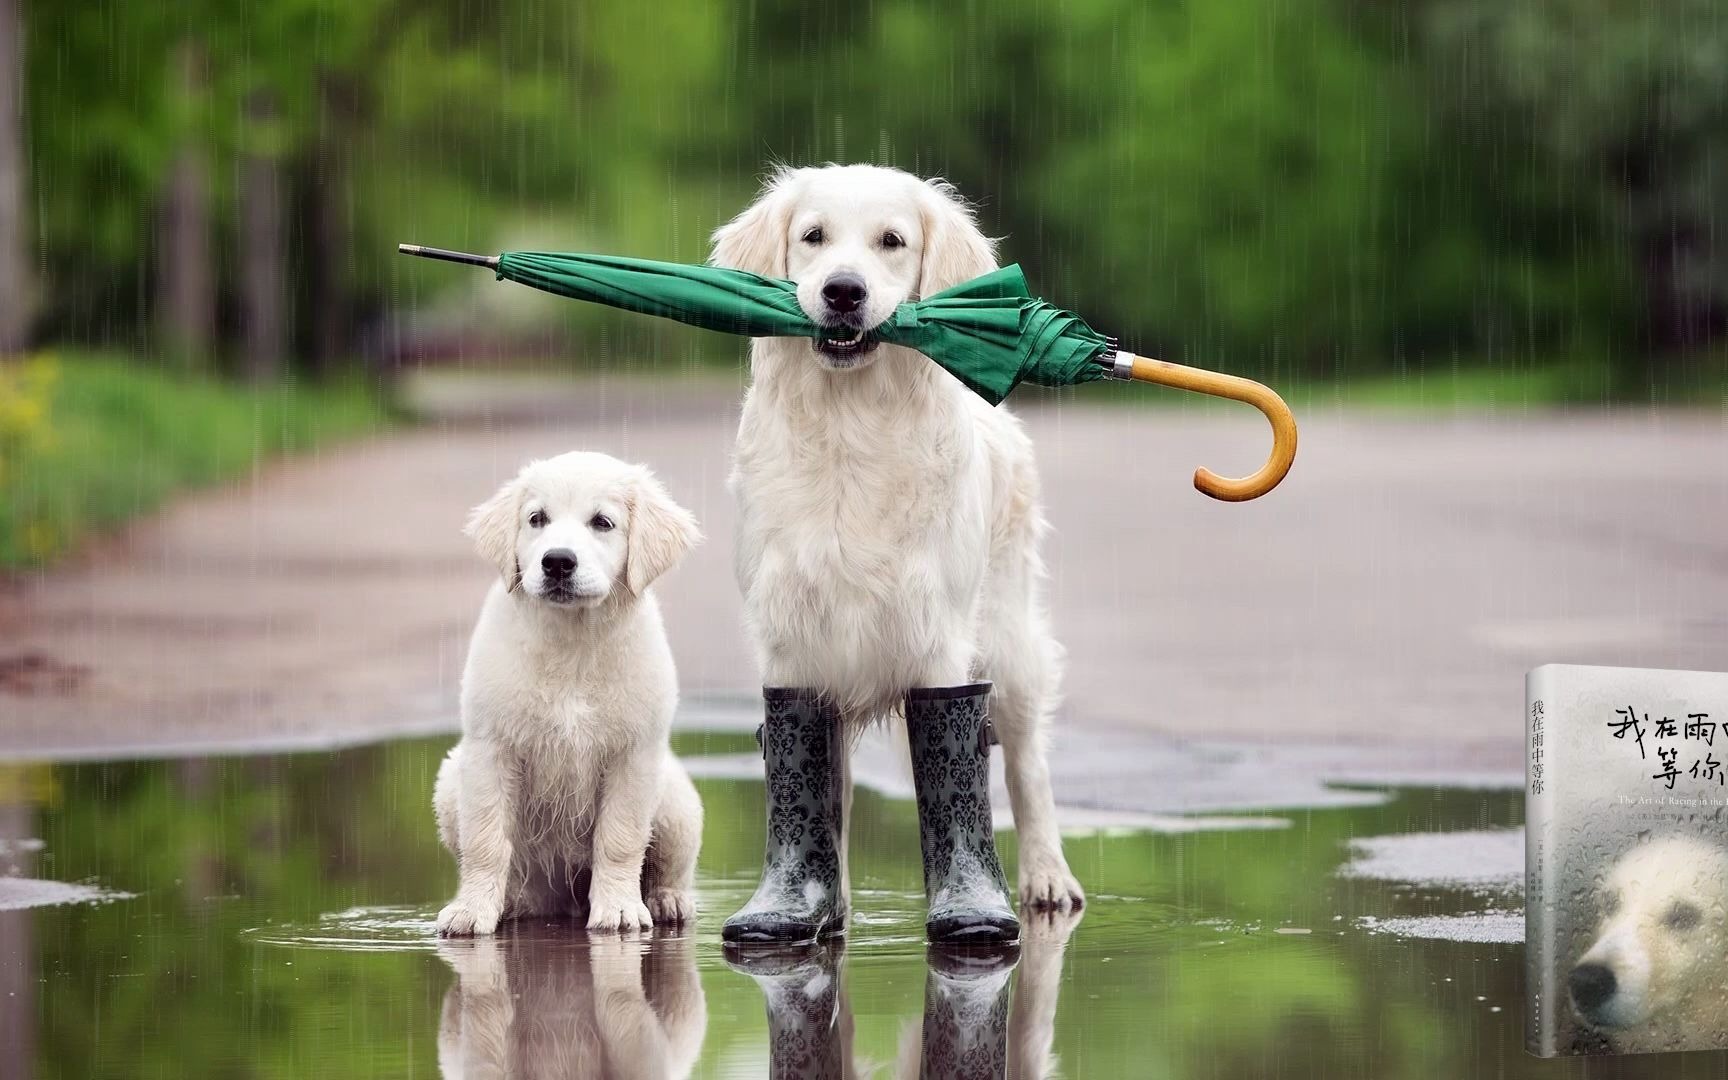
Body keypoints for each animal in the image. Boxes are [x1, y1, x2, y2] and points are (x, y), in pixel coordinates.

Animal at [435, 449, 705, 933]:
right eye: (536, 519)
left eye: (602, 522)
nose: (557, 561)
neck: (573, 642)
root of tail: (561, 904)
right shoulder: (490, 748)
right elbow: (485, 840)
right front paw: (471, 911)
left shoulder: (633, 754)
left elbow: (620, 838)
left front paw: (618, 909)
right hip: (451, 780)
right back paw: (513, 902)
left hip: (677, 801)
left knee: (670, 864)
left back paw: (667, 900)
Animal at [711, 164, 1078, 905]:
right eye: (813, 236)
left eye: (892, 241)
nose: (843, 291)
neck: (851, 426)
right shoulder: (790, 639)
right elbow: (816, 784)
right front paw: (812, 904)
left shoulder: (937, 637)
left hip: (1009, 640)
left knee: (1026, 763)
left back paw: (1047, 877)